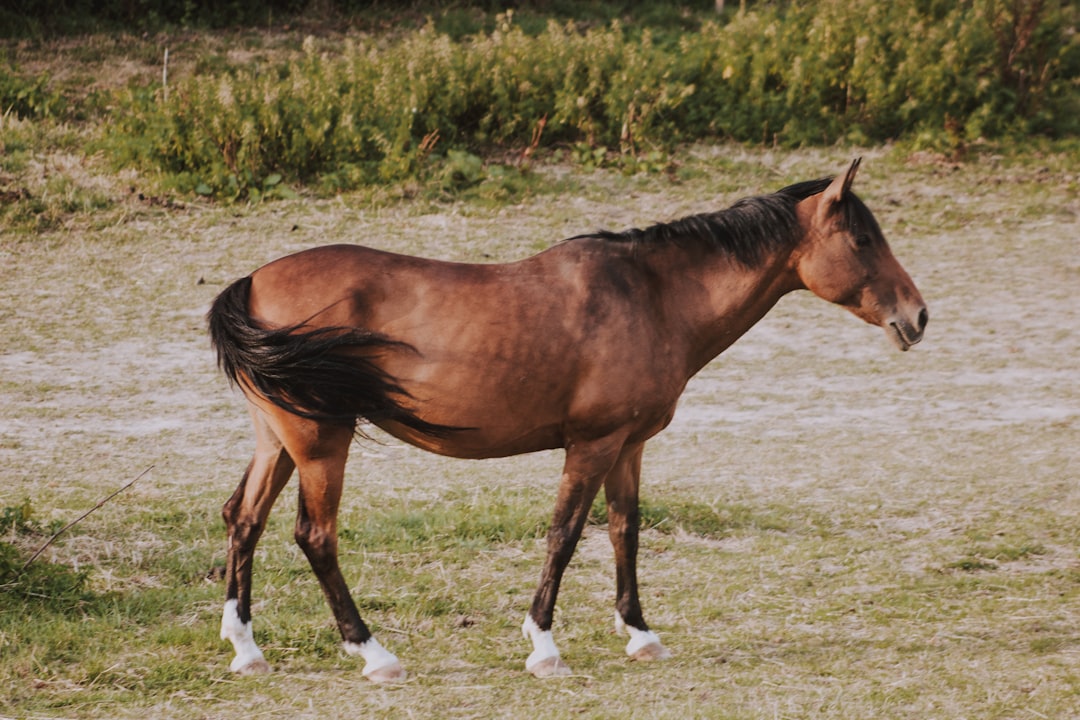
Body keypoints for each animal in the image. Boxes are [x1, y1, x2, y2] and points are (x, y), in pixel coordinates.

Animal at [208, 160, 928, 686]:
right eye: (862, 239)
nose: (917, 317)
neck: (653, 297)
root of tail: (253, 281)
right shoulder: (593, 444)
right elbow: (565, 536)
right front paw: (544, 646)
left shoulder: (629, 447)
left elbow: (624, 532)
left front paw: (640, 634)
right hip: (321, 444)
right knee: (315, 536)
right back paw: (374, 653)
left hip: (279, 439)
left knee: (244, 518)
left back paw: (246, 648)